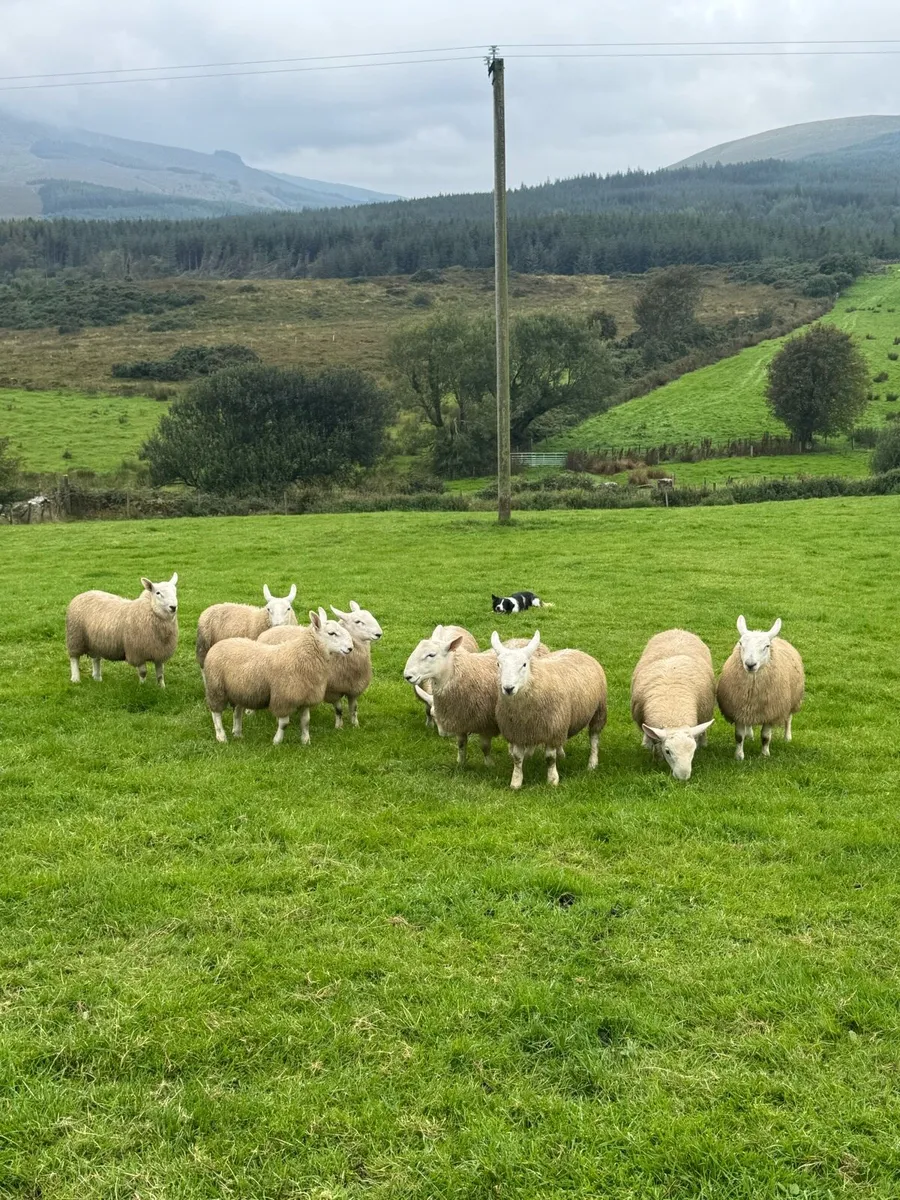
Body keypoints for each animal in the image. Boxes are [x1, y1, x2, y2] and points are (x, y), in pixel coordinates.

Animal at [203, 608, 353, 746]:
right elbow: (284, 723)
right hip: (216, 687)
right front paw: (277, 741)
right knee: (216, 713)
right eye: (332, 633)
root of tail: (219, 643)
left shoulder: (305, 697)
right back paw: (221, 736)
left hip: (239, 690)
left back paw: (238, 733)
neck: (301, 656)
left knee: (238, 711)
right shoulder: (283, 698)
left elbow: (305, 721)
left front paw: (306, 741)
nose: (350, 648)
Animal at [259, 600, 383, 728]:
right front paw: (339, 727)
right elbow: (339, 710)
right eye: (358, 621)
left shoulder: (354, 689)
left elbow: (354, 709)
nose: (379, 634)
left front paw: (355, 725)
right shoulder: (333, 691)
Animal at [491, 630, 607, 788]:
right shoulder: (518, 732)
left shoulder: (552, 729)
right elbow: (517, 758)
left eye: (524, 664)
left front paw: (552, 780)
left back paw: (592, 763)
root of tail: (575, 650)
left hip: (598, 711)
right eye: (498, 664)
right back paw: (562, 754)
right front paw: (516, 782)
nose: (508, 688)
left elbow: (550, 758)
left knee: (594, 738)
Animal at [630, 629, 715, 780]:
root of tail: (678, 630)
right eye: (668, 751)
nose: (683, 777)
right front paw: (657, 758)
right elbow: (655, 742)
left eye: (693, 750)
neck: (673, 714)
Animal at [716, 616, 805, 760]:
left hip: (793, 699)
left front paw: (764, 755)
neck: (752, 689)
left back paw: (787, 737)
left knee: (788, 718)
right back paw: (749, 735)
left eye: (766, 646)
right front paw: (739, 756)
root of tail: (778, 638)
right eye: (740, 643)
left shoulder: (770, 712)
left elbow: (765, 737)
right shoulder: (739, 710)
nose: (750, 664)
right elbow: (739, 737)